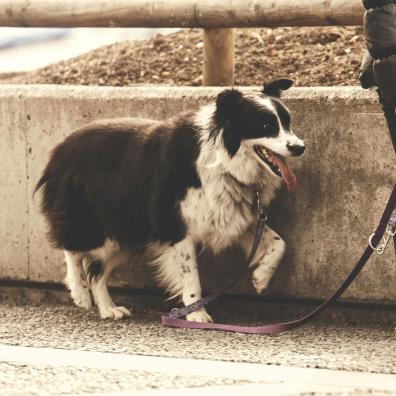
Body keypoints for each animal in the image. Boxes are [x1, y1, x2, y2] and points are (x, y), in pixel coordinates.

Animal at [35, 79, 304, 322]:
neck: (223, 161)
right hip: (94, 221)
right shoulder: (176, 225)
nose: (300, 147)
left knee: (97, 273)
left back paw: (108, 309)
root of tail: (59, 149)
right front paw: (197, 315)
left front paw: (261, 278)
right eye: (265, 125)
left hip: (127, 232)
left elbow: (279, 243)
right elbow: (191, 275)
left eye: (287, 123)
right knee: (72, 249)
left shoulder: (232, 216)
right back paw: (80, 292)